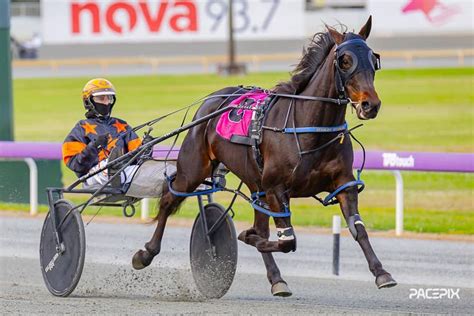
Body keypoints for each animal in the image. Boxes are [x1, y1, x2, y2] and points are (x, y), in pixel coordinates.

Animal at [132, 16, 396, 296]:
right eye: (345, 60)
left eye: (373, 59)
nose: (370, 105)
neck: (309, 127)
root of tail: (213, 99)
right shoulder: (275, 188)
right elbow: (287, 241)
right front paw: (248, 237)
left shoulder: (343, 184)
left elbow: (358, 230)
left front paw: (382, 273)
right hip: (193, 169)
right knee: (168, 199)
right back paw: (145, 253)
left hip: (254, 180)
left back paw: (276, 277)